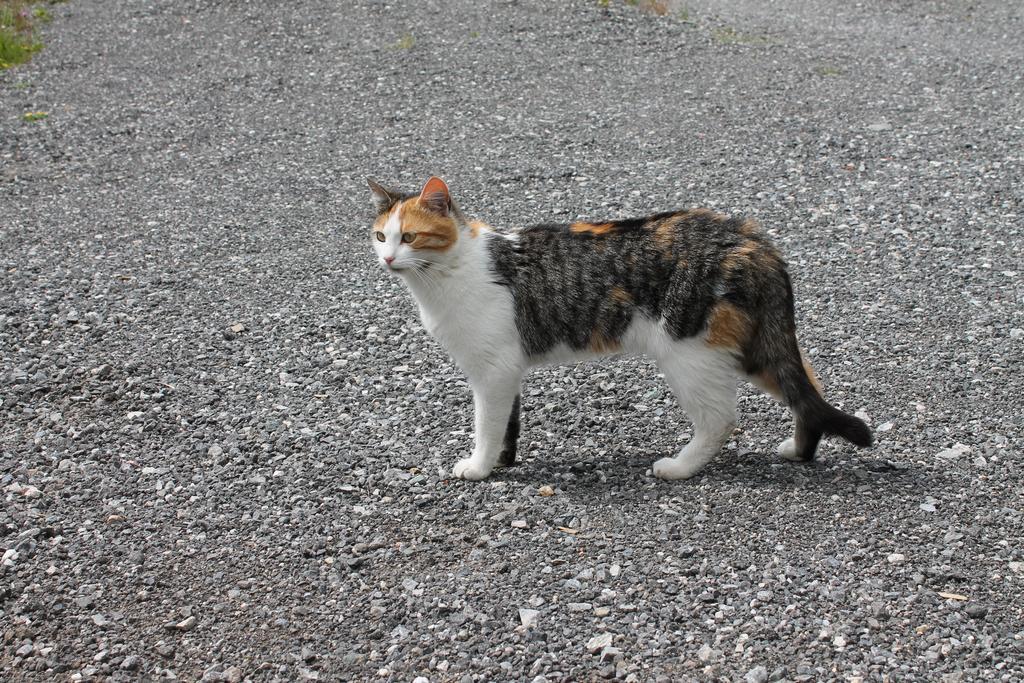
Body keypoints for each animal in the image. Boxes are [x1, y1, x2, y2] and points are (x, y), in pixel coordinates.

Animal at [368, 179, 872, 483]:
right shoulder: (509, 372)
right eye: (379, 236)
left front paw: (480, 467)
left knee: (720, 419)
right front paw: (506, 461)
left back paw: (680, 467)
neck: (449, 272)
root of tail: (747, 235)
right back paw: (800, 450)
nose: (388, 258)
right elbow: (510, 423)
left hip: (689, 353)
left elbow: (487, 426)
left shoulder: (493, 371)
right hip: (755, 347)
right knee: (807, 391)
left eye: (409, 237)